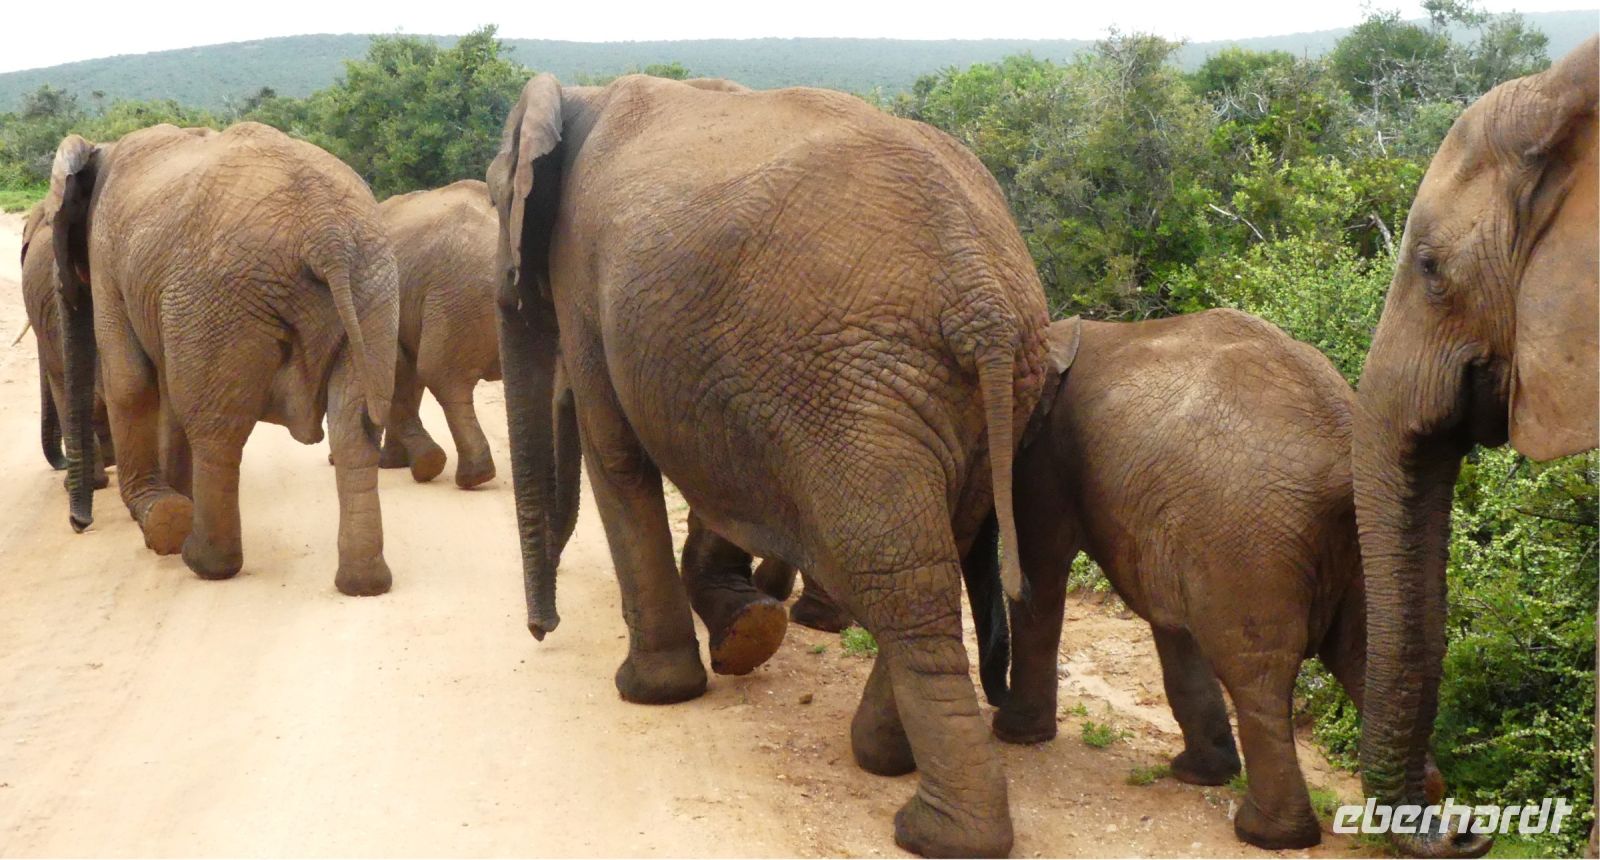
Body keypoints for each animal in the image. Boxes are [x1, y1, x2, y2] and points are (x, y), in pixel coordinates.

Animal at [49, 122, 399, 596]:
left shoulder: (106, 257)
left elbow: (129, 380)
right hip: (372, 286)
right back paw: (364, 584)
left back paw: (202, 560)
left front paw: (158, 510)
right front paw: (175, 498)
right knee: (353, 429)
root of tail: (326, 233)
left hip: (219, 295)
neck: (104, 147)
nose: (79, 523)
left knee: (217, 430)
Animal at [489, 74, 1049, 856]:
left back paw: (933, 827)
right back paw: (883, 758)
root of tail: (985, 302)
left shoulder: (582, 279)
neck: (582, 96)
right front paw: (748, 635)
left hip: (854, 392)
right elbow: (725, 476)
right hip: (969, 390)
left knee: (897, 577)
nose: (542, 632)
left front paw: (652, 691)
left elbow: (618, 455)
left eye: (492, 200)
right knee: (934, 557)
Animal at [993, 309, 1441, 850]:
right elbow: (1170, 617)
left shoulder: (1045, 459)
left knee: (1258, 673)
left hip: (1249, 536)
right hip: (1355, 540)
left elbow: (1040, 573)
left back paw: (1266, 835)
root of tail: (1341, 444)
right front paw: (1202, 773)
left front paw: (1014, 733)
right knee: (1361, 655)